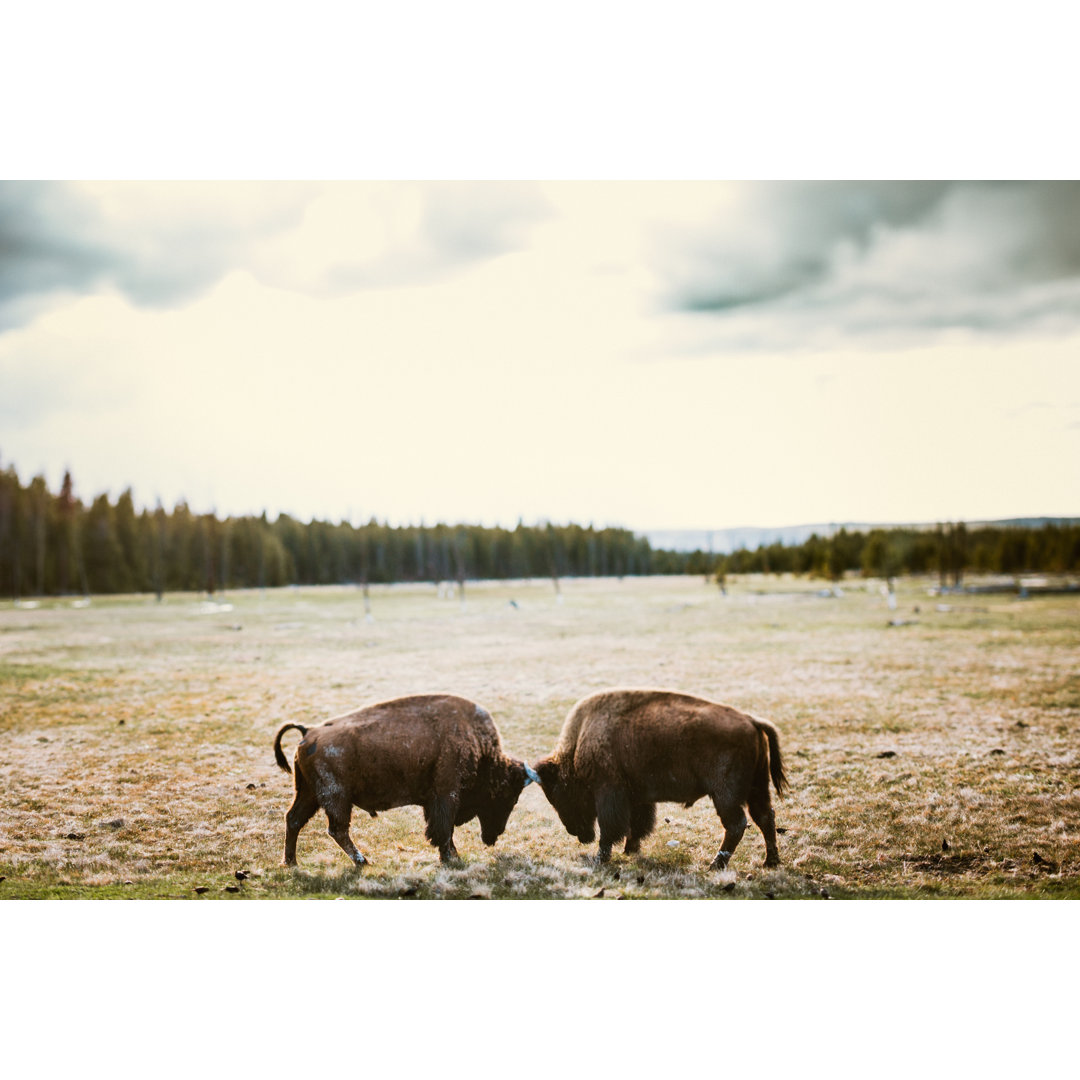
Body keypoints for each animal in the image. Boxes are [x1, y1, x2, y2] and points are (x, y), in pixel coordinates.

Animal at [272, 691, 537, 868]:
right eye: (508, 796)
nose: (494, 836)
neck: (477, 744)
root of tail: (309, 732)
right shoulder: (446, 796)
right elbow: (444, 829)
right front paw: (452, 857)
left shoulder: (434, 802)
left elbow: (441, 829)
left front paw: (451, 856)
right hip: (335, 798)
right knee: (337, 829)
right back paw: (362, 860)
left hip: (308, 794)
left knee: (294, 819)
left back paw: (291, 862)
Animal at [535, 691, 790, 868]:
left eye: (560, 794)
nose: (573, 831)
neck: (581, 739)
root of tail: (751, 720)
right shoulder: (636, 797)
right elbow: (636, 825)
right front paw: (630, 850)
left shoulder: (609, 793)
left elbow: (611, 829)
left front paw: (601, 859)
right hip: (756, 789)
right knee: (765, 817)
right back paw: (770, 862)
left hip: (725, 795)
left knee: (737, 824)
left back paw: (715, 865)